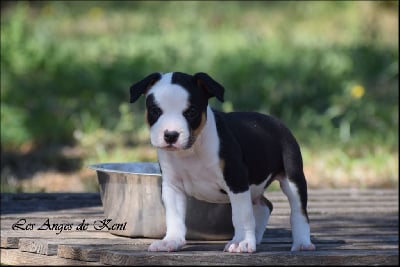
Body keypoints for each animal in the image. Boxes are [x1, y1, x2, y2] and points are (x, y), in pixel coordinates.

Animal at [130, 72, 316, 254]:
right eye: (155, 111)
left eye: (191, 112)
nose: (170, 135)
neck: (192, 150)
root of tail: (276, 122)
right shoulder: (172, 186)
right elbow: (174, 217)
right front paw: (171, 241)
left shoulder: (236, 180)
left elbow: (241, 215)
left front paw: (241, 242)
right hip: (255, 189)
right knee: (265, 206)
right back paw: (256, 237)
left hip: (292, 178)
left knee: (299, 212)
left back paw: (301, 243)